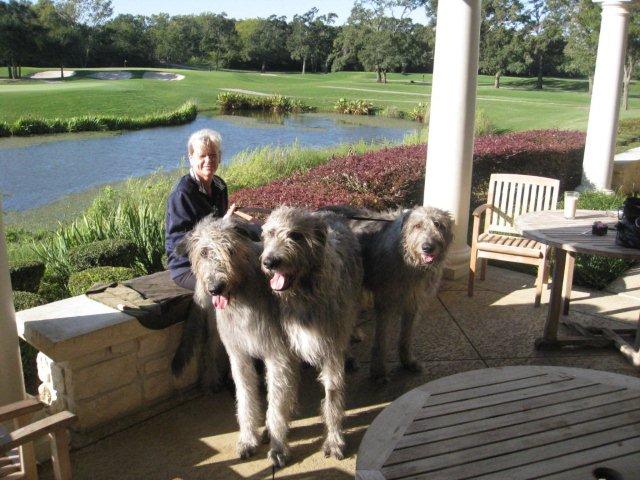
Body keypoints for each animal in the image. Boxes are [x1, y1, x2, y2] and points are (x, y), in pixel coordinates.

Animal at [176, 214, 297, 467]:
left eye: (230, 250)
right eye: (204, 252)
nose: (215, 288)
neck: (243, 301)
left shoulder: (277, 355)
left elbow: (276, 404)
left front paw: (278, 446)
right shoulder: (238, 355)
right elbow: (245, 398)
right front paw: (249, 438)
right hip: (214, 325)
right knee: (209, 349)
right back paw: (211, 380)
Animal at [260, 206, 363, 459]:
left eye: (295, 235)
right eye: (270, 233)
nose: (269, 262)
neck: (303, 295)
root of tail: (329, 212)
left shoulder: (330, 347)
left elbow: (333, 394)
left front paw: (334, 440)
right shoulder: (283, 352)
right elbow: (277, 397)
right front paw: (278, 444)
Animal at [325, 205, 453, 382]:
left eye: (438, 225)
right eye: (417, 226)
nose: (428, 247)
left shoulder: (413, 303)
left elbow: (406, 336)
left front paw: (407, 361)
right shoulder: (386, 301)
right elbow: (381, 339)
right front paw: (378, 372)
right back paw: (348, 358)